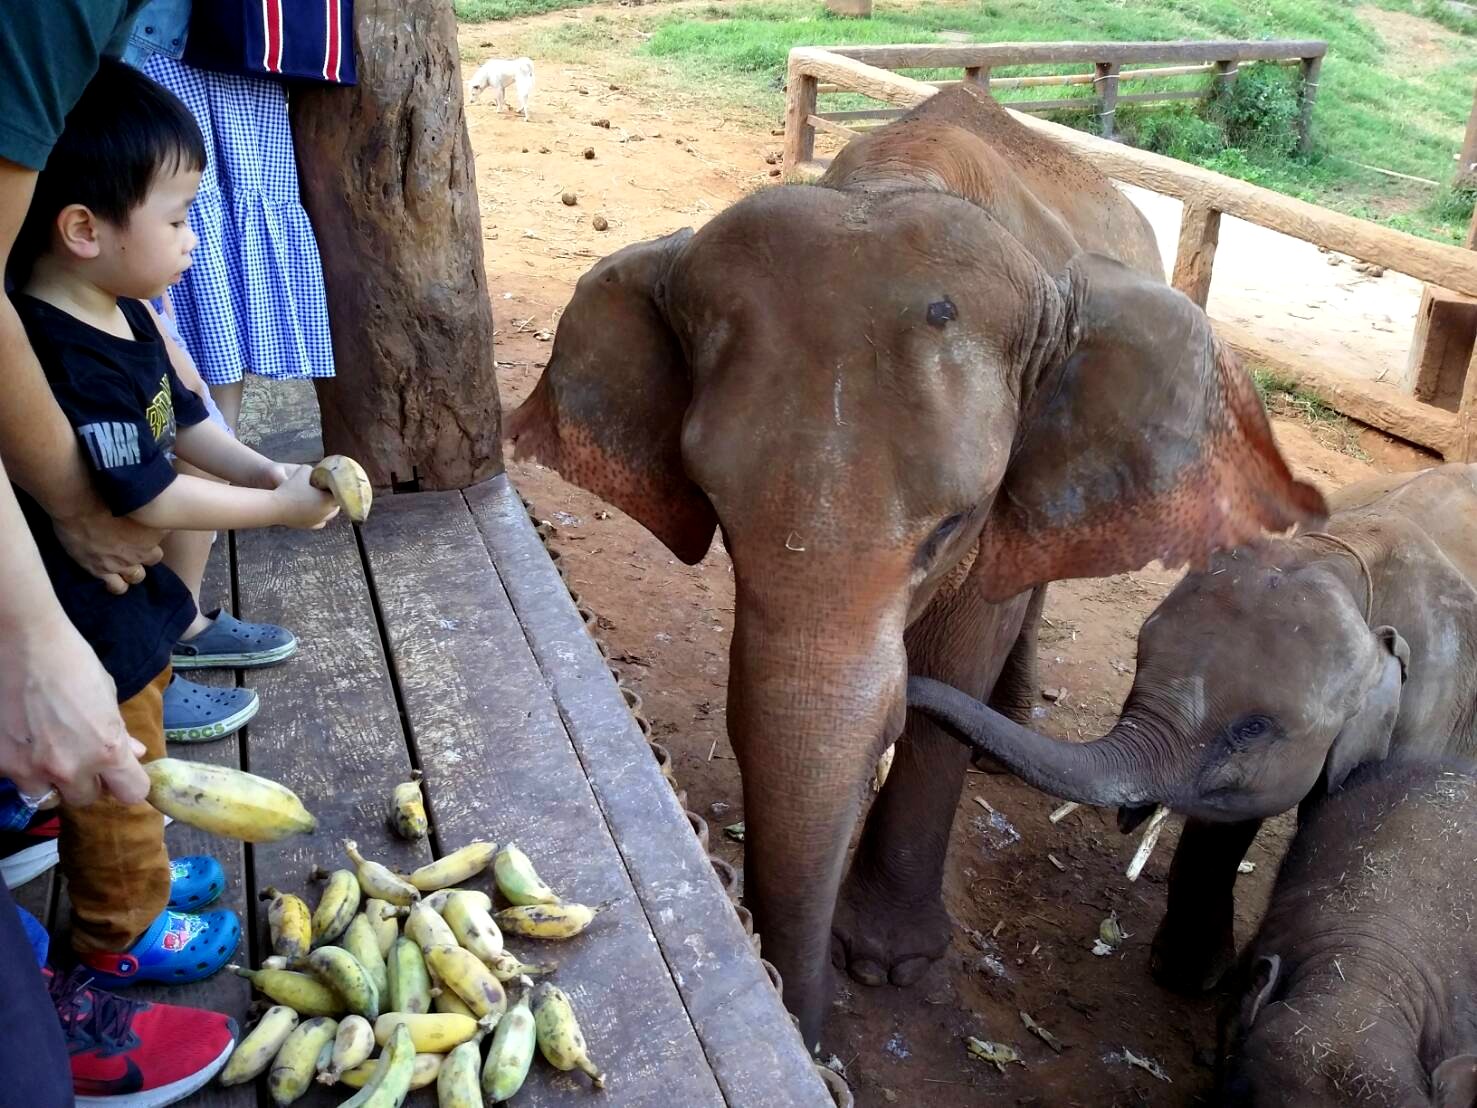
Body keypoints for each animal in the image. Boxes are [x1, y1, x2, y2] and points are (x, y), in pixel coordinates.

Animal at [503, 82, 1324, 1046]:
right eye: (714, 508)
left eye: (954, 522)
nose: (805, 1030)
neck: (895, 180)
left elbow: (964, 641)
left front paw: (889, 963)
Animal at [908, 462, 1477, 997]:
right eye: (1139, 657)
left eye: (1253, 728)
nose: (906, 683)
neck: (1350, 562)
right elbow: (1223, 824)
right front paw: (1185, 978)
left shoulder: (1429, 718)